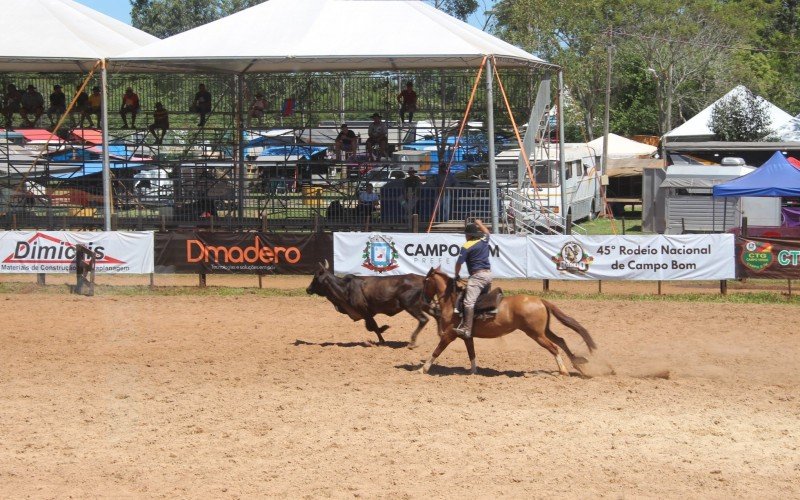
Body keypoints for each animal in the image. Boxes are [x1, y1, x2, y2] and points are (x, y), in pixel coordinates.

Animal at [422, 268, 596, 376]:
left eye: (425, 281)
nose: (425, 300)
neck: (453, 302)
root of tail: (540, 300)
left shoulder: (450, 334)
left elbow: (437, 350)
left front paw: (423, 369)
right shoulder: (467, 336)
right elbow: (472, 353)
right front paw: (473, 371)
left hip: (536, 334)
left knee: (554, 347)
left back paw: (564, 371)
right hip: (543, 331)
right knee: (560, 341)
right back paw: (577, 364)